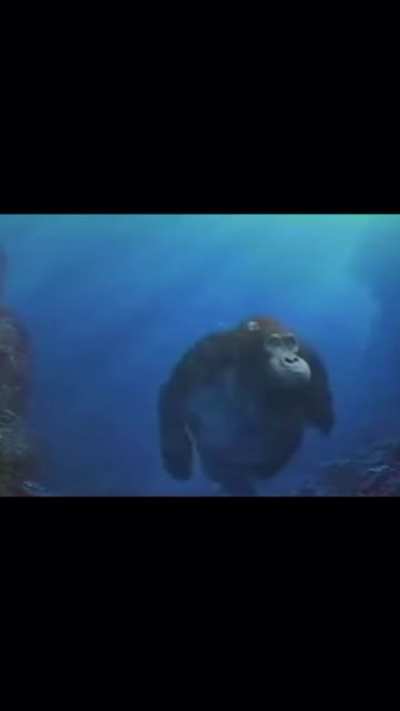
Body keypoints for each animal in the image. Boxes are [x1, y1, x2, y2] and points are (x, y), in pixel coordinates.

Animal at [158, 316, 334, 496]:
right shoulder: (208, 352)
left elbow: (320, 414)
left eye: (290, 342)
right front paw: (176, 458)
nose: (291, 359)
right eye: (274, 343)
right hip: (212, 464)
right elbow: (176, 392)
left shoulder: (310, 357)